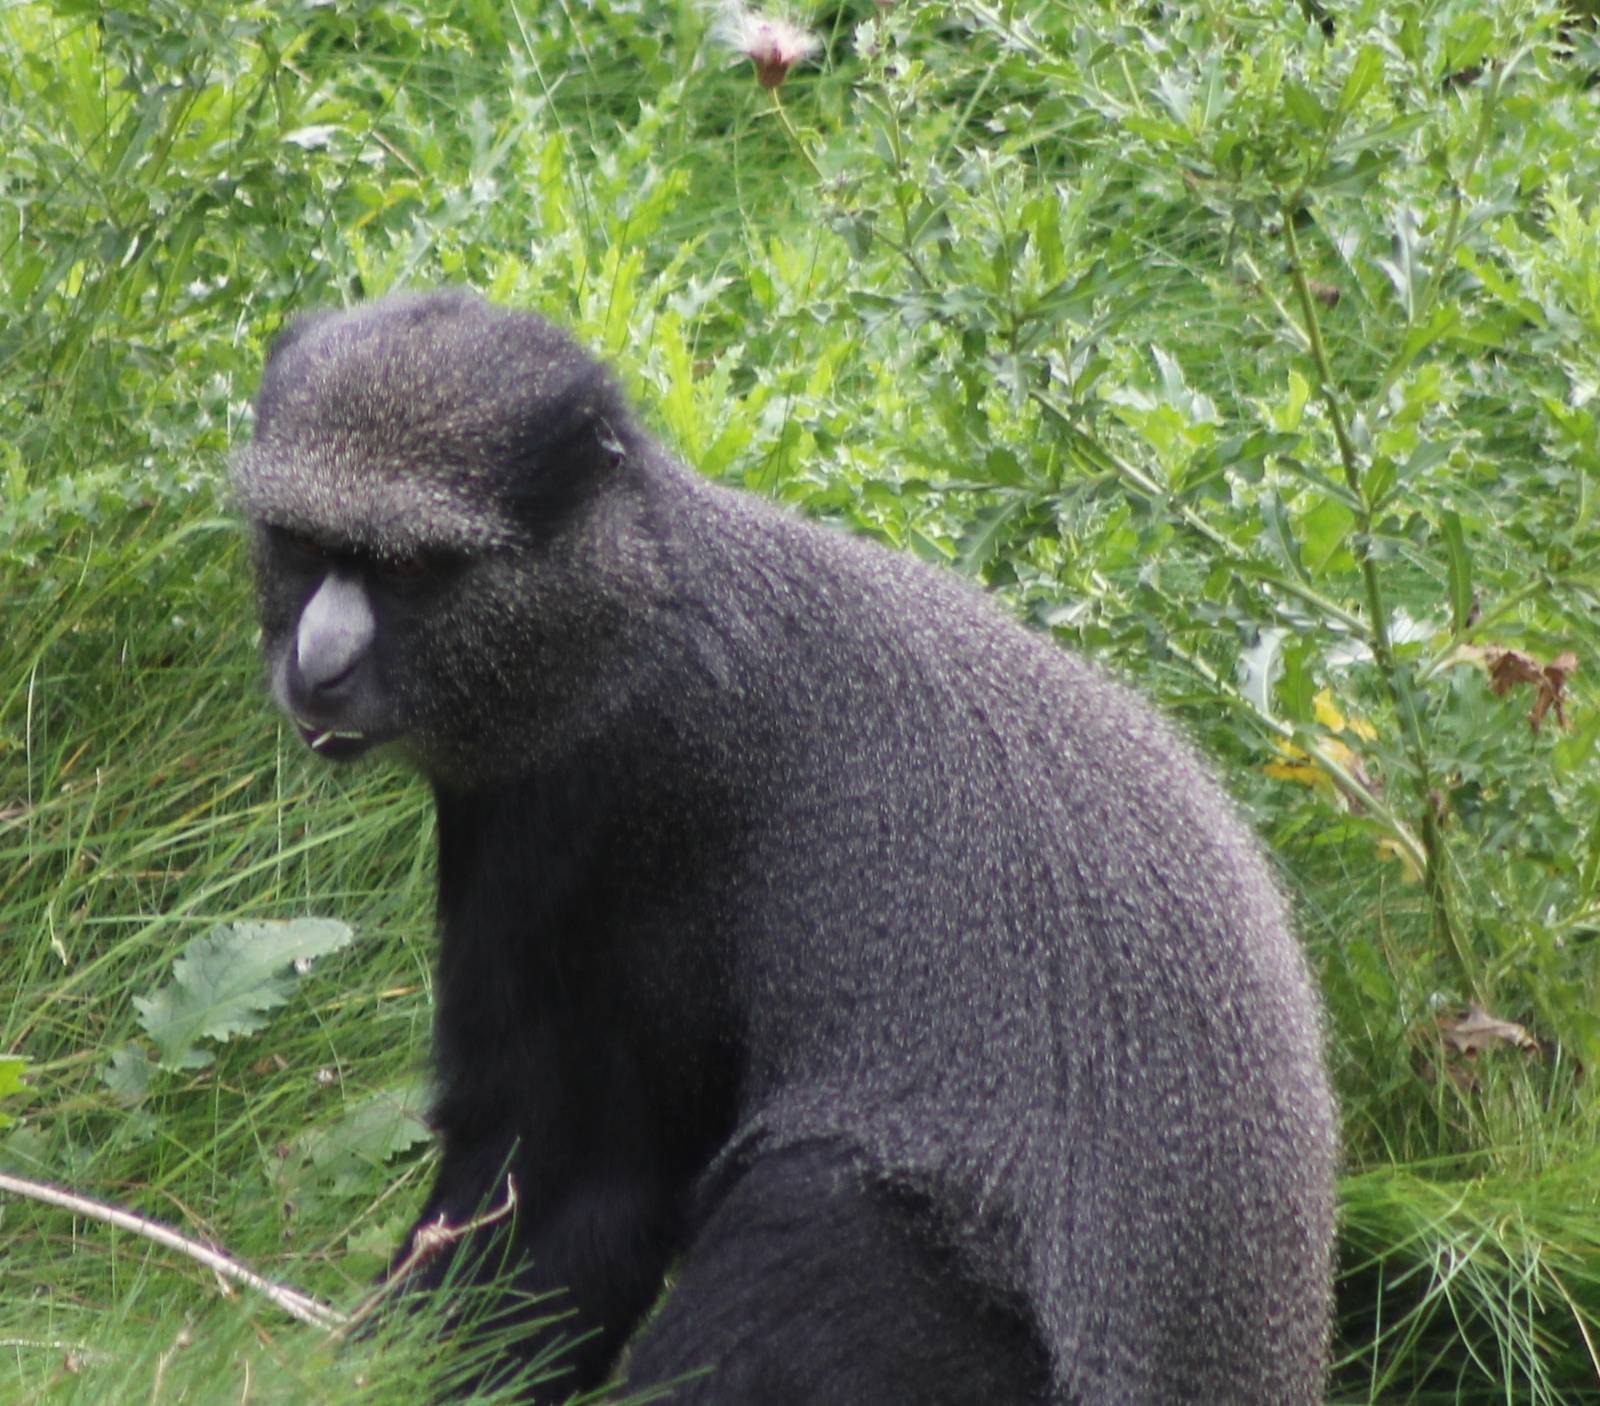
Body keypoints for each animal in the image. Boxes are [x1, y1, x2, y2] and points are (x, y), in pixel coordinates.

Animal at [232, 289, 1336, 1404]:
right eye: (300, 544)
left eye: (411, 567)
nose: (319, 664)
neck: (628, 607)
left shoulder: (622, 802)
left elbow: (575, 1170)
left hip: (916, 1304)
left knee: (815, 1218)